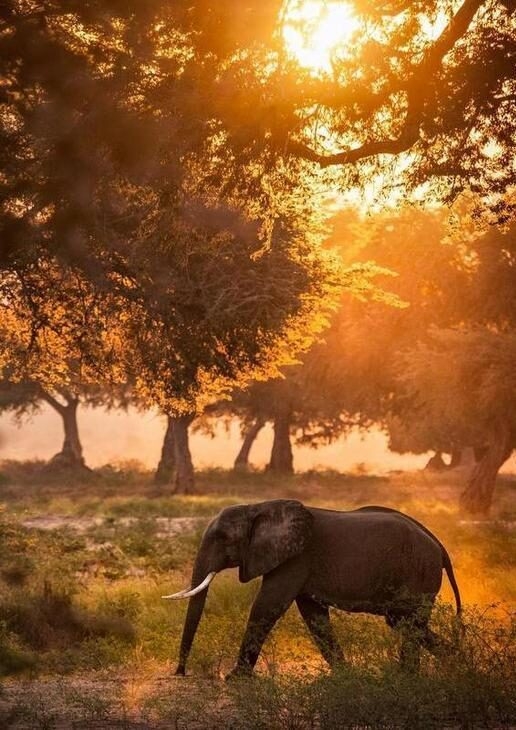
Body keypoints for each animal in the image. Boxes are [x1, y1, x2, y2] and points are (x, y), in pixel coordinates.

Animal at [165, 500, 462, 677]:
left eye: (222, 538)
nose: (181, 673)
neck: (258, 507)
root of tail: (439, 546)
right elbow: (314, 616)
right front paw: (344, 676)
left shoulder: (296, 557)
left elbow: (267, 606)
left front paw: (235, 679)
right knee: (404, 622)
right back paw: (453, 663)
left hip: (419, 572)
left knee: (408, 622)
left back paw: (411, 676)